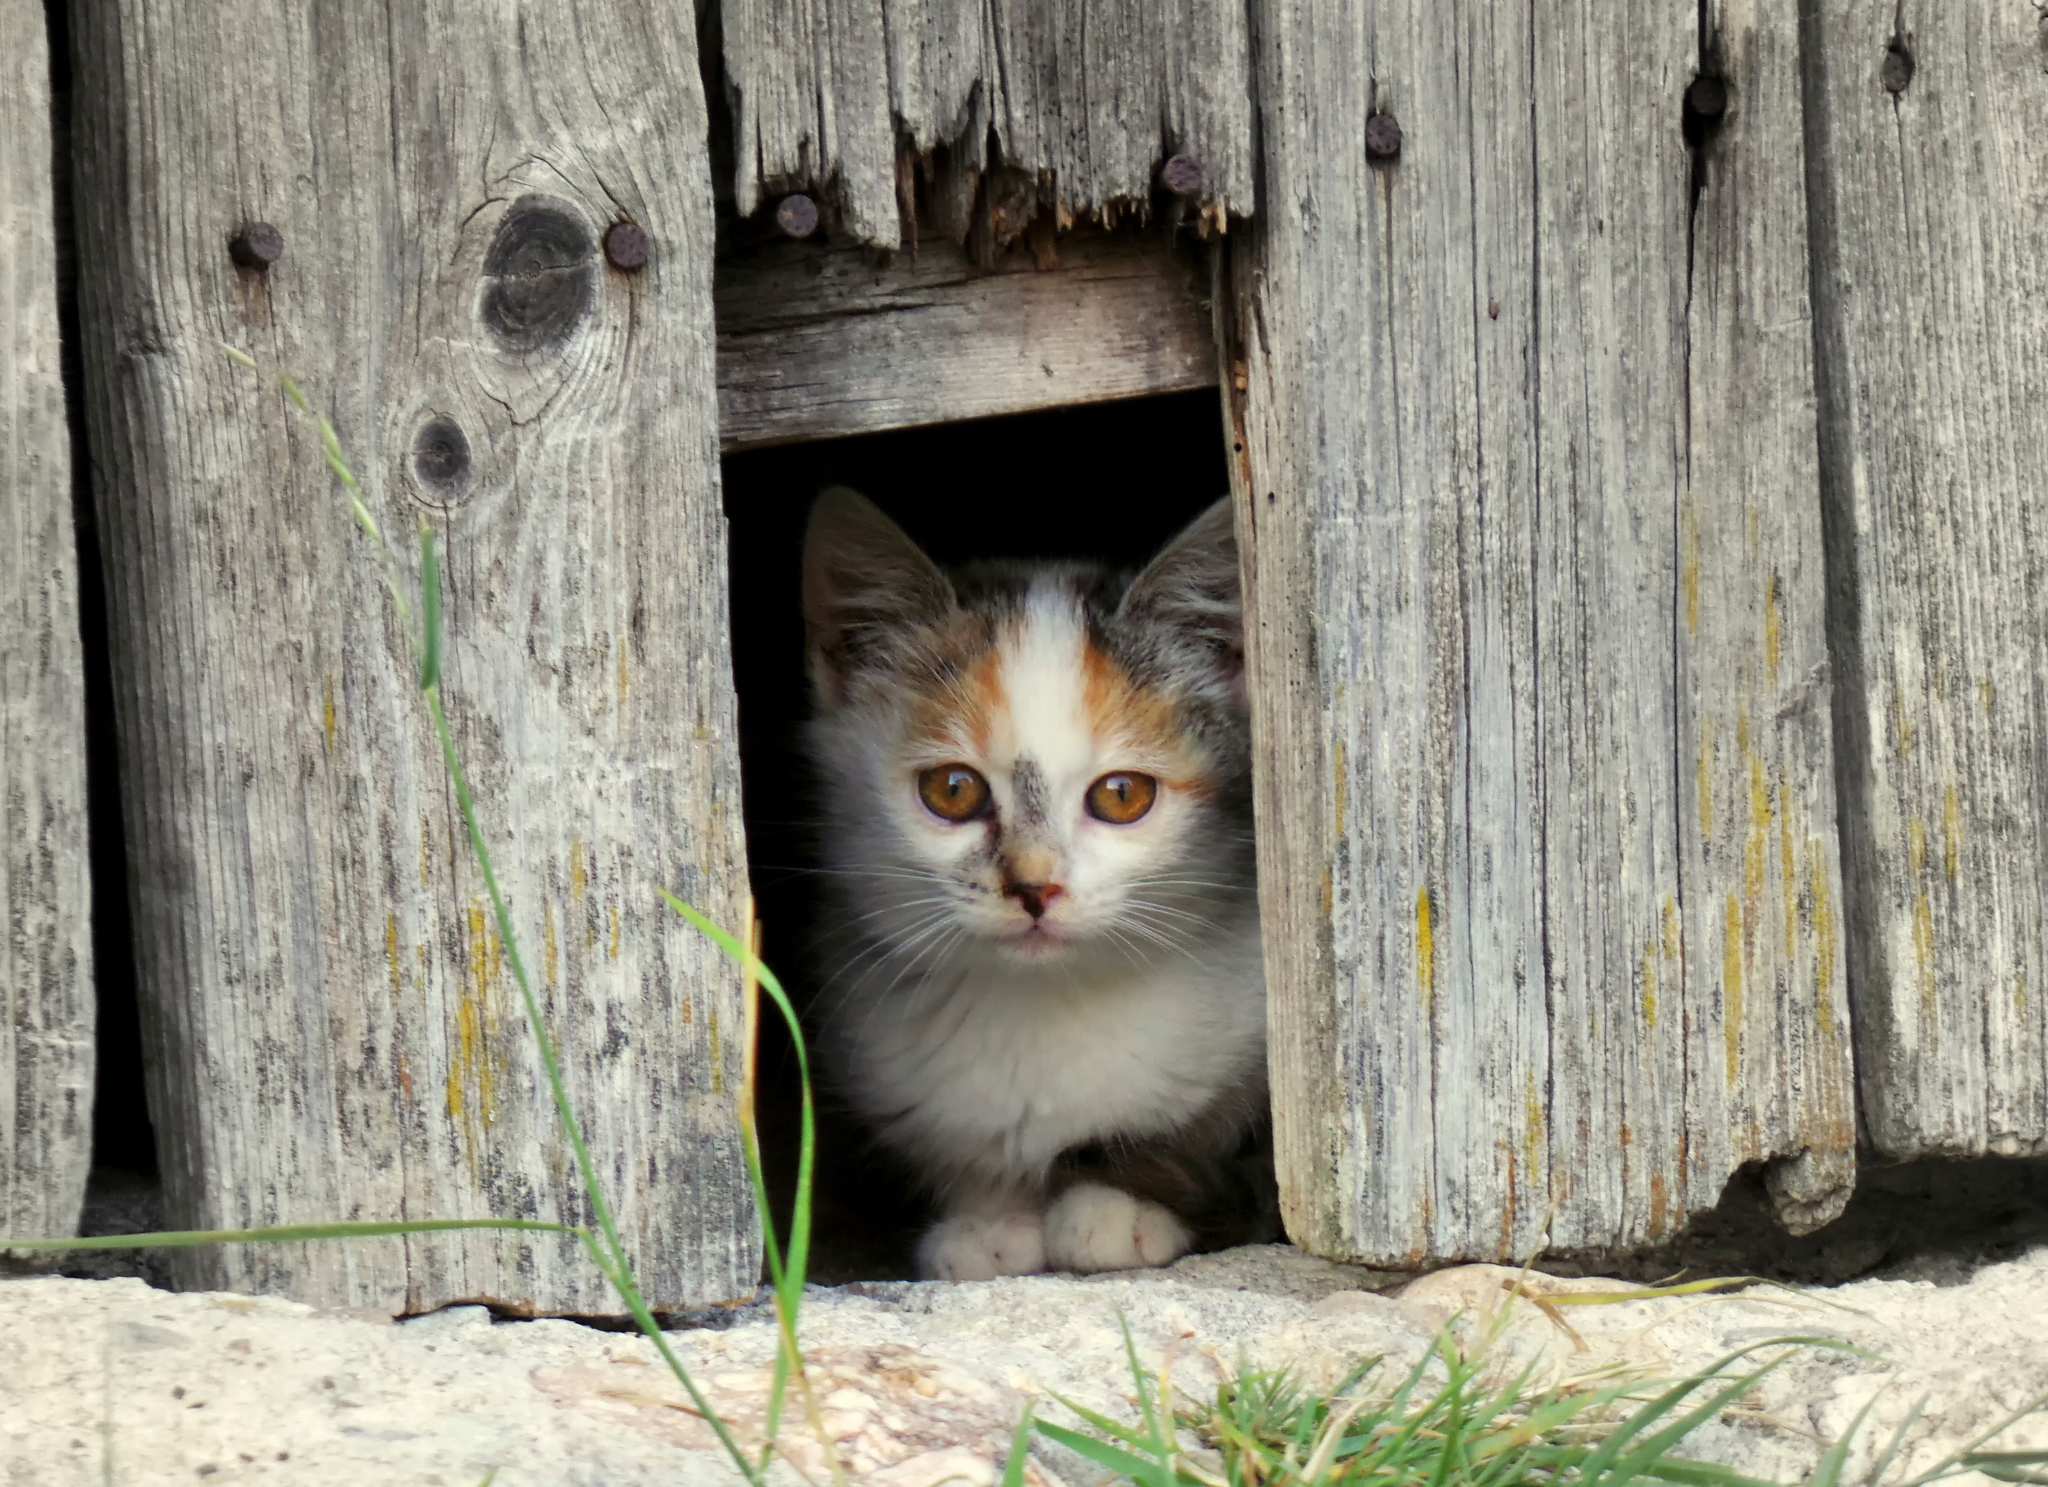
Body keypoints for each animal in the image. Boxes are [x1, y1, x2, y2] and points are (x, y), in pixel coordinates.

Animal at [802, 489, 1269, 1278]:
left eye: (1122, 795)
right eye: (952, 789)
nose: (1034, 887)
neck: (1046, 1003)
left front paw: (1119, 1206)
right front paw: (988, 1221)